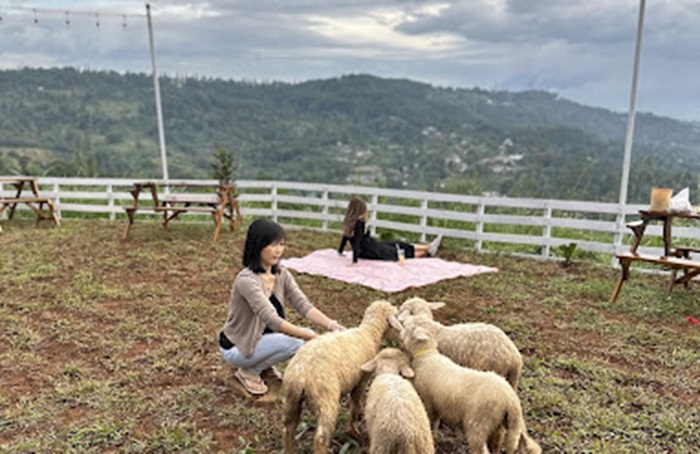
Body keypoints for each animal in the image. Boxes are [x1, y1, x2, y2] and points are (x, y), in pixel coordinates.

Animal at [280, 300, 400, 452]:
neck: (369, 333)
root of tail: (300, 374)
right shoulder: (361, 381)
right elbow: (355, 405)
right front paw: (354, 431)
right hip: (326, 400)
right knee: (320, 438)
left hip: (291, 400)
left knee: (288, 429)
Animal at [400, 316, 540, 454]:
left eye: (409, 326)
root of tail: (514, 357)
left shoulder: (429, 401)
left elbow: (431, 422)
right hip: (508, 393)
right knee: (500, 433)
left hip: (478, 422)